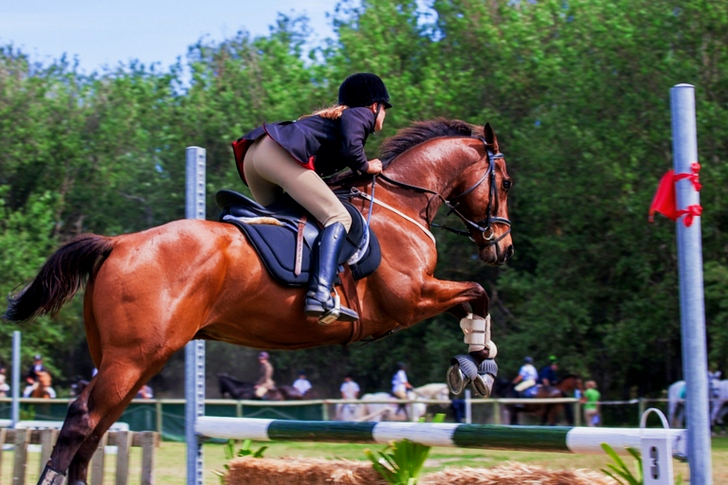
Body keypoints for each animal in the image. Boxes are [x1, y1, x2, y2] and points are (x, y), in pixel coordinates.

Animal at [3, 119, 513, 484]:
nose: (502, 248)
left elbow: (471, 300)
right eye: (504, 182)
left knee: (98, 428)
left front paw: (478, 360)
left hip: (135, 360)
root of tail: (117, 244)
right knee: (81, 419)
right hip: (130, 358)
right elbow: (477, 293)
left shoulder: (418, 297)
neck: (398, 207)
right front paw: (479, 367)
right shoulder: (409, 299)